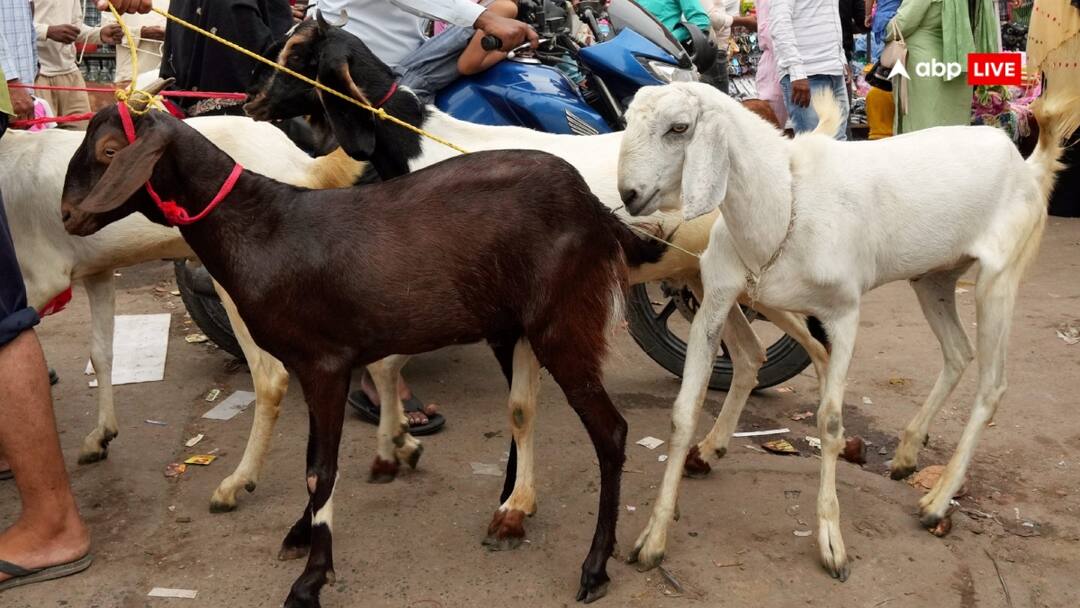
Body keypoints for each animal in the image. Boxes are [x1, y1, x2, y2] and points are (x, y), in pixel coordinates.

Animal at [61, 98, 669, 605]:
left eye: (110, 152)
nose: (68, 216)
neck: (264, 227)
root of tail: (596, 211)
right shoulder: (314, 366)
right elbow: (314, 461)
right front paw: (302, 533)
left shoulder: (326, 362)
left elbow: (321, 469)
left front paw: (311, 576)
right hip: (511, 324)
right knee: (523, 408)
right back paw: (509, 510)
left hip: (563, 321)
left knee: (611, 432)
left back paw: (594, 566)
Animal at [617, 81, 1079, 580]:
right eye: (628, 119)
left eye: (679, 127)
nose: (629, 194)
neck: (785, 199)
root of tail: (1027, 165)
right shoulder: (717, 298)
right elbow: (684, 412)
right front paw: (653, 537)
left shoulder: (843, 313)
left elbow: (831, 420)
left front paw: (830, 541)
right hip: (933, 278)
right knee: (958, 353)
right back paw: (907, 453)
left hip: (1000, 277)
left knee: (992, 385)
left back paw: (937, 501)